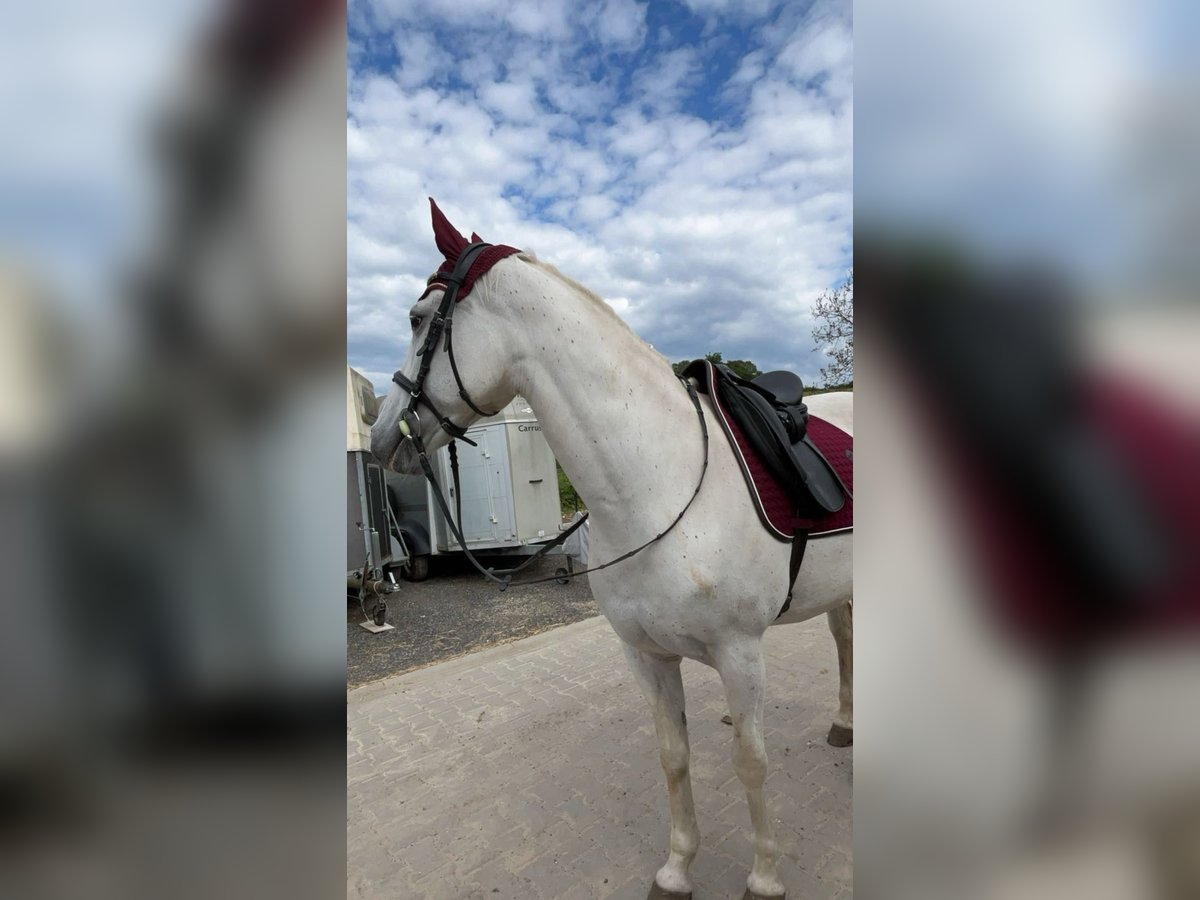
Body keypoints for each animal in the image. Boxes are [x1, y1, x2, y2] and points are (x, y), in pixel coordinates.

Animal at [369, 225, 849, 900]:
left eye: (416, 319)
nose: (382, 437)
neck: (661, 482)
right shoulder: (646, 655)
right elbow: (674, 758)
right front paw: (675, 871)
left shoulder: (741, 654)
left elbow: (750, 762)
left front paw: (764, 879)